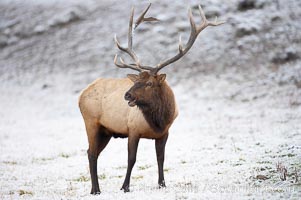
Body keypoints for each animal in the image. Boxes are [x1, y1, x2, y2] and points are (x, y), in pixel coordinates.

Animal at [77, 2, 223, 194]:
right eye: (137, 80)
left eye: (149, 83)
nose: (127, 94)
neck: (158, 120)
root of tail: (81, 95)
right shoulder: (132, 129)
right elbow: (131, 159)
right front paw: (125, 187)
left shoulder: (164, 133)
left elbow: (161, 157)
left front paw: (162, 184)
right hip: (91, 122)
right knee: (92, 153)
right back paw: (95, 190)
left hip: (106, 131)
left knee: (91, 152)